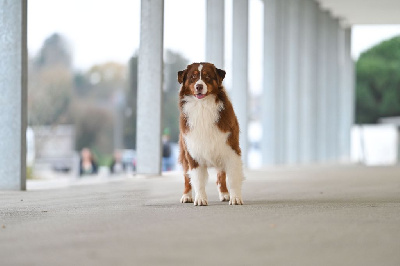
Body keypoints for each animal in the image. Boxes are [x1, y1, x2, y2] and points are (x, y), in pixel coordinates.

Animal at [177, 61, 244, 206]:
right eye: (193, 77)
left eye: (207, 76)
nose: (199, 86)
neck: (203, 106)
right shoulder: (193, 151)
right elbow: (197, 179)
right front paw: (200, 199)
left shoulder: (231, 149)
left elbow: (233, 177)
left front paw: (235, 198)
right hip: (184, 152)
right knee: (186, 177)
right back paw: (186, 196)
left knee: (221, 175)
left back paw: (224, 194)